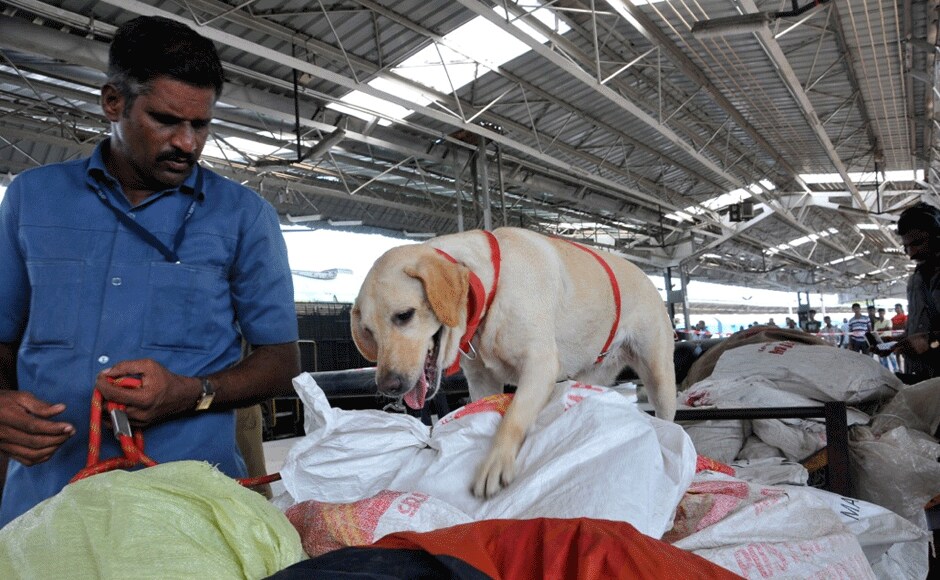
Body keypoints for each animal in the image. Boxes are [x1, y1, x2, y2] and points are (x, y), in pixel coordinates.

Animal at [352, 227, 676, 498]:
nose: (388, 386)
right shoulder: (481, 381)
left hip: (659, 377)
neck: (489, 287)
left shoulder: (540, 365)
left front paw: (496, 461)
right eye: (368, 331)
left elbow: (513, 417)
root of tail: (647, 276)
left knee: (666, 416)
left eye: (404, 315)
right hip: (590, 376)